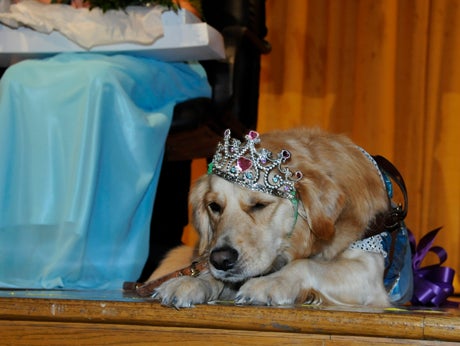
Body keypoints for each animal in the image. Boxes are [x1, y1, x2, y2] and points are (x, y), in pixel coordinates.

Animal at [149, 128, 394, 306]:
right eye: (215, 206)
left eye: (259, 205)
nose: (221, 259)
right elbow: (211, 275)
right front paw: (191, 281)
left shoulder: (367, 269)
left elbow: (306, 265)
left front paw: (272, 282)